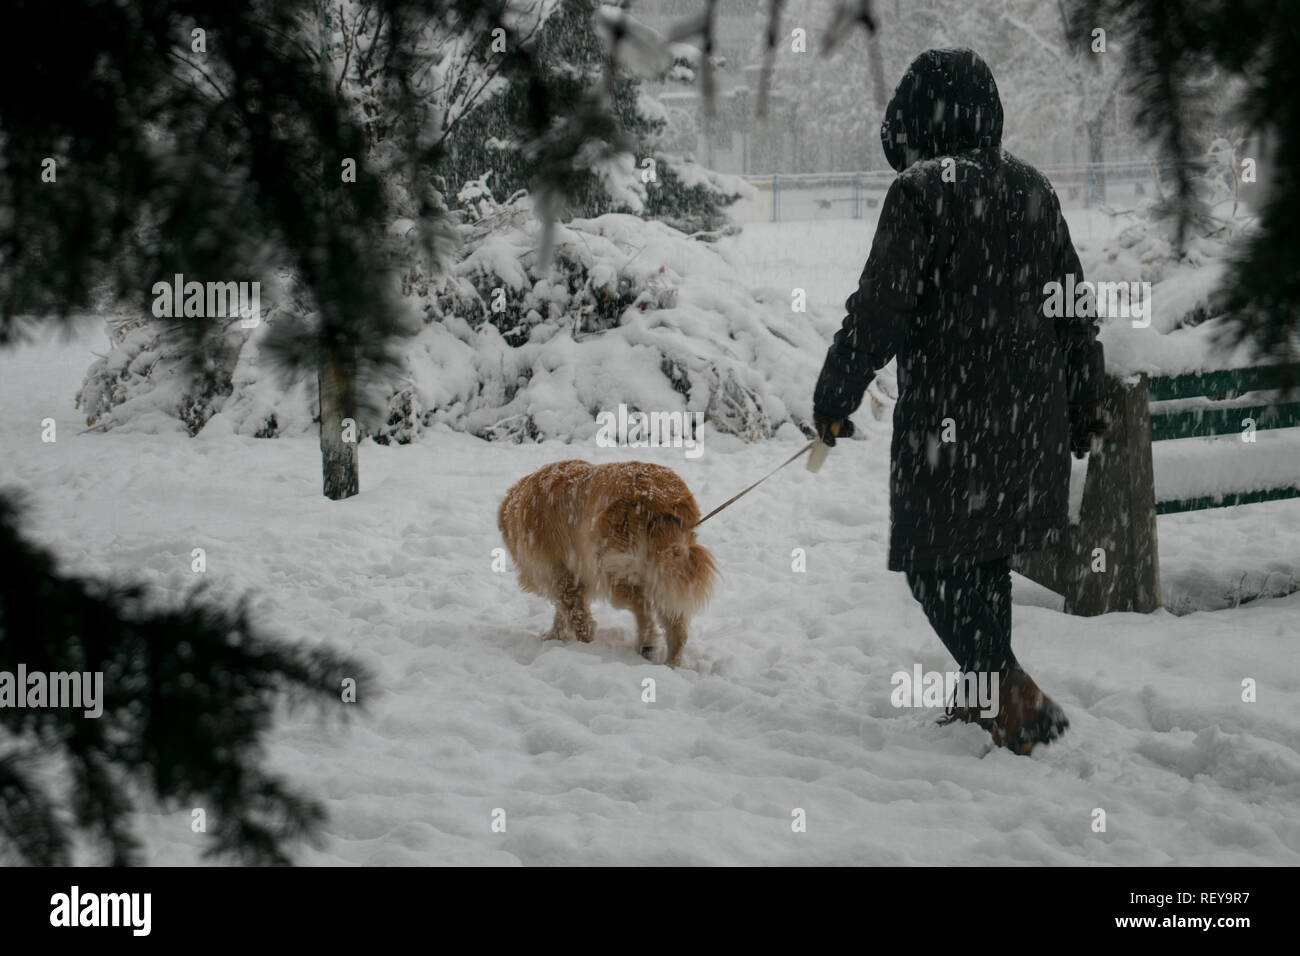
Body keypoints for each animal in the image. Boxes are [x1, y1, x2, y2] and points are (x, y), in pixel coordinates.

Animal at [499, 463, 722, 665]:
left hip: (611, 571)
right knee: (676, 627)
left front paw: (583, 643)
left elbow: (576, 614)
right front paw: (555, 636)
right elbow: (563, 613)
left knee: (642, 606)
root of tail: (659, 500)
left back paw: (647, 644)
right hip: (668, 575)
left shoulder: (561, 575)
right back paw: (670, 664)